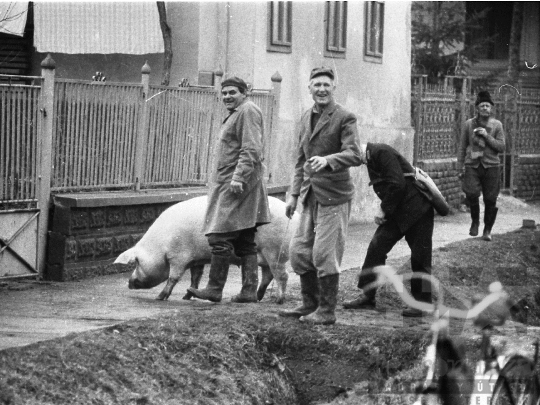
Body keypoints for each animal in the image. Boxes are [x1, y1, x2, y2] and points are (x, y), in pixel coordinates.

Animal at [115, 195, 298, 304]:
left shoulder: (178, 256)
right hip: (266, 255)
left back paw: (279, 300)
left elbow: (173, 277)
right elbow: (195, 277)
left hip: (274, 251)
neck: (160, 245)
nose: (129, 283)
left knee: (282, 275)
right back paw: (257, 297)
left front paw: (160, 297)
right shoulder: (196, 258)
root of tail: (294, 217)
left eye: (136, 263)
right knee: (267, 275)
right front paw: (187, 296)